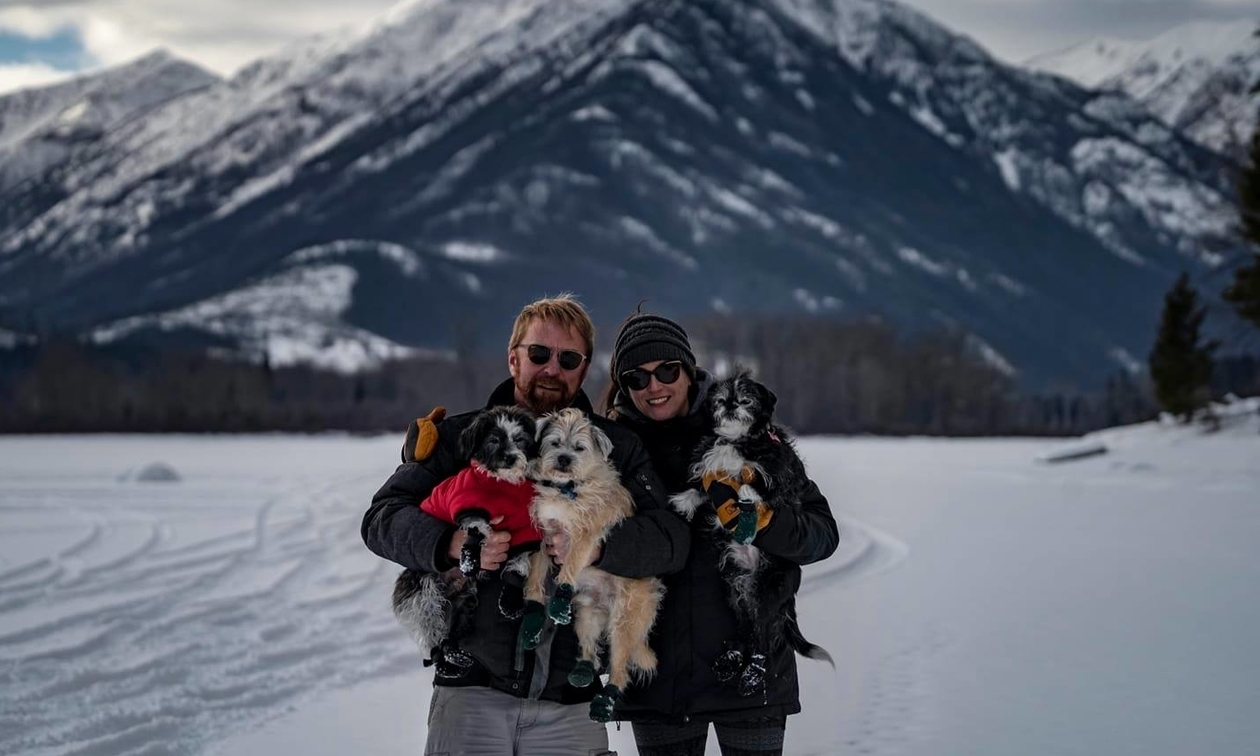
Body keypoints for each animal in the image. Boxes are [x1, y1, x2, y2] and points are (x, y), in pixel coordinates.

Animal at [388, 408, 536, 680]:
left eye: (520, 440)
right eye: (493, 440)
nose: (510, 458)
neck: (501, 485)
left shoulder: (525, 527)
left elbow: (520, 561)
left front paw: (510, 599)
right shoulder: (466, 504)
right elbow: (477, 530)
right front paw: (470, 559)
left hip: (464, 601)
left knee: (450, 636)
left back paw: (455, 657)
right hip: (424, 593)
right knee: (432, 635)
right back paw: (444, 661)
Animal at [516, 408, 665, 720]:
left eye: (579, 448)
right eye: (555, 443)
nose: (564, 459)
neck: (567, 488)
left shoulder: (583, 538)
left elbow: (571, 565)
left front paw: (559, 595)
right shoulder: (543, 536)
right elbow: (535, 575)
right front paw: (534, 611)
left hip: (623, 624)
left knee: (619, 669)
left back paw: (605, 699)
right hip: (586, 614)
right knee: (590, 650)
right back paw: (582, 671)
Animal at [675, 372, 831, 695]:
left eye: (746, 399)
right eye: (719, 400)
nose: (731, 404)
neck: (737, 439)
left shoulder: (778, 471)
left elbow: (757, 480)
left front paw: (747, 491)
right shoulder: (713, 472)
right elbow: (701, 486)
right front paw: (683, 500)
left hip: (767, 589)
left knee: (763, 638)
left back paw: (753, 675)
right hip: (735, 587)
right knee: (746, 630)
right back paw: (731, 659)